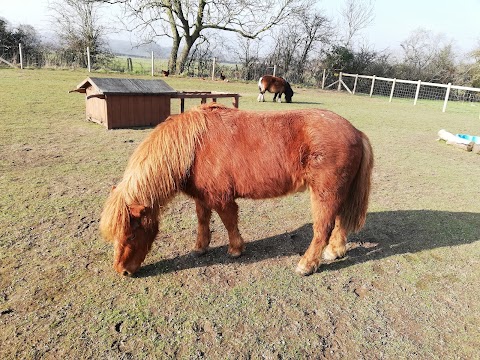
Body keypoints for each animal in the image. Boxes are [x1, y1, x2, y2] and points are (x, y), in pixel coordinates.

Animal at [99, 102, 374, 278]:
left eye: (131, 235)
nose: (122, 271)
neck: (195, 145)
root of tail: (355, 131)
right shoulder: (202, 197)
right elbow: (203, 220)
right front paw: (200, 247)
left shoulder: (222, 198)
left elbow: (229, 221)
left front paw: (235, 250)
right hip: (339, 192)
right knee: (340, 221)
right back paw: (335, 251)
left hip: (325, 194)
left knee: (323, 228)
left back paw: (307, 265)